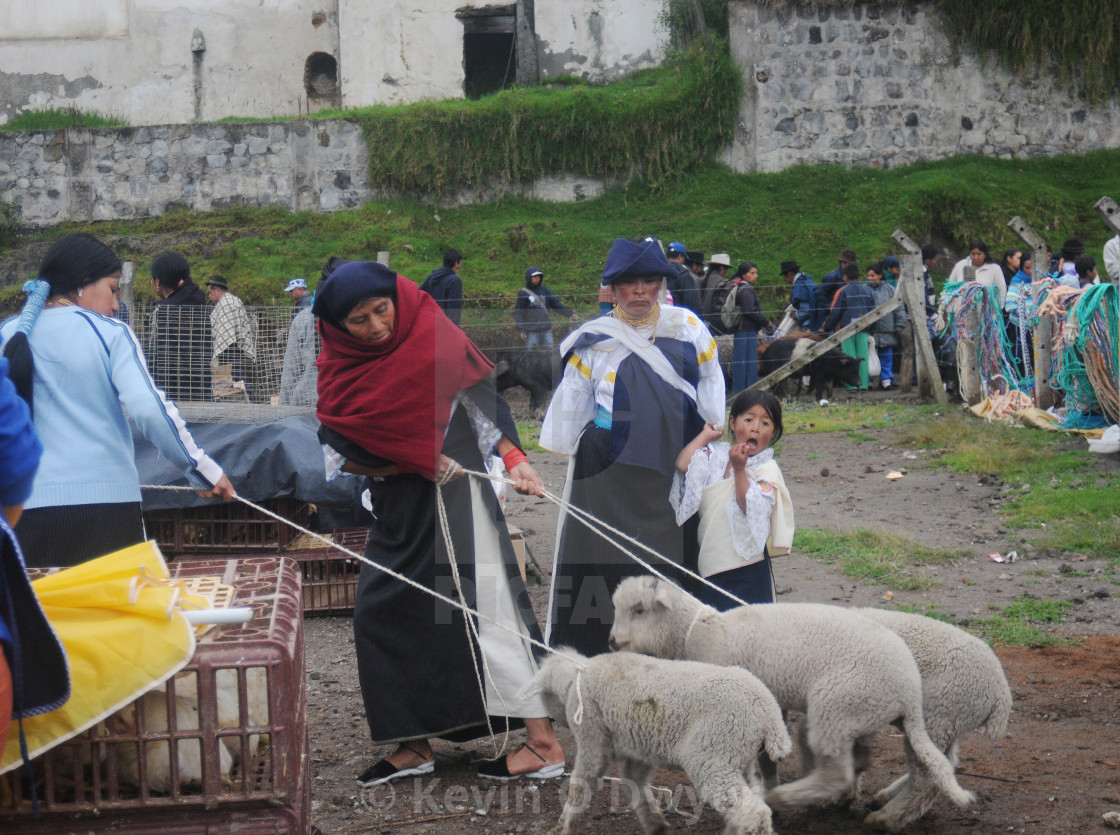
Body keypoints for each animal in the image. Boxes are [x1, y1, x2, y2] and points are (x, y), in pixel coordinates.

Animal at [519, 649, 792, 832]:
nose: (558, 722)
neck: (577, 679)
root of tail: (769, 713)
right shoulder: (638, 749)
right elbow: (634, 782)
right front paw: (655, 824)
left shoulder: (592, 738)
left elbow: (579, 785)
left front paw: (562, 825)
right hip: (739, 755)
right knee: (753, 800)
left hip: (713, 754)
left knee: (754, 813)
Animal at [609, 573, 976, 814]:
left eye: (639, 610)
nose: (612, 641)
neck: (697, 633)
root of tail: (910, 690)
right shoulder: (770, 700)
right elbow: (767, 752)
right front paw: (769, 777)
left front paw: (769, 789)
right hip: (860, 712)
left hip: (838, 705)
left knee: (836, 775)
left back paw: (786, 798)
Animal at [846, 608, 1016, 828]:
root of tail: (1001, 691)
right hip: (950, 723)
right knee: (943, 766)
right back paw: (885, 799)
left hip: (937, 716)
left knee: (925, 775)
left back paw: (885, 817)